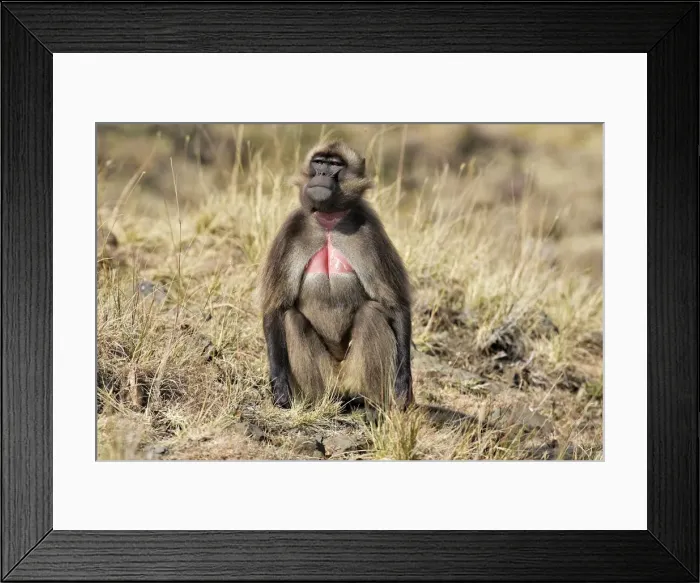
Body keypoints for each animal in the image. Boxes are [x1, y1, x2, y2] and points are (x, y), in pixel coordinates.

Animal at [257, 140, 413, 412]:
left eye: (335, 165)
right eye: (319, 162)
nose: (321, 174)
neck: (329, 221)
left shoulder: (370, 229)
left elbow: (395, 304)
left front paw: (404, 383)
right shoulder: (290, 230)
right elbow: (276, 307)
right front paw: (279, 387)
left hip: (352, 372)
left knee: (370, 314)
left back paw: (369, 405)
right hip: (325, 378)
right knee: (292, 319)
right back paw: (318, 402)